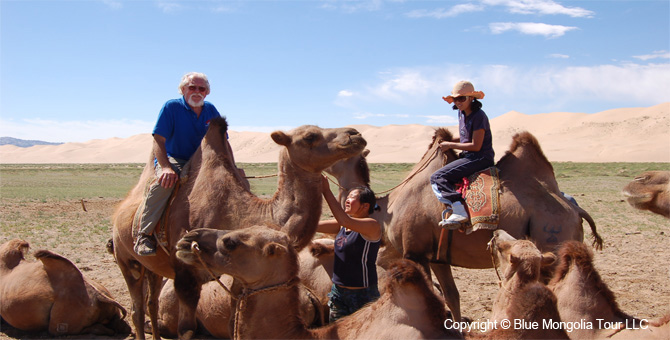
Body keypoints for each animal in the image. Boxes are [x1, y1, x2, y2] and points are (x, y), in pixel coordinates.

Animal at [113, 115, 370, 338]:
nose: (355, 134)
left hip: (153, 268)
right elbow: (186, 330)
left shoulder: (238, 274)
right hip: (125, 258)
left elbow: (233, 324)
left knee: (151, 303)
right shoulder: (185, 273)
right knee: (137, 310)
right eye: (309, 136)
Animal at [326, 127, 604, 322]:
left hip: (553, 236)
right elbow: (451, 296)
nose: (354, 134)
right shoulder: (437, 257)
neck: (386, 210)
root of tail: (575, 209)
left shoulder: (414, 252)